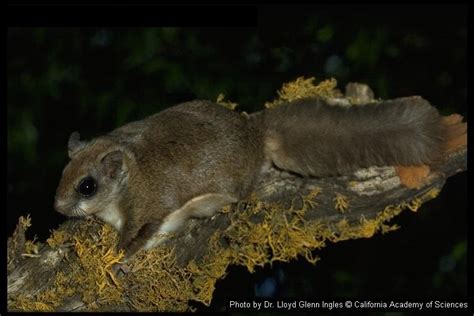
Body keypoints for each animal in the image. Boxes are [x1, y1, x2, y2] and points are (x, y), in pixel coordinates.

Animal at [52, 95, 466, 262]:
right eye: (63, 174)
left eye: (87, 186)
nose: (57, 206)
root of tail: (255, 133)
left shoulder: (150, 208)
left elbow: (138, 237)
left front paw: (115, 260)